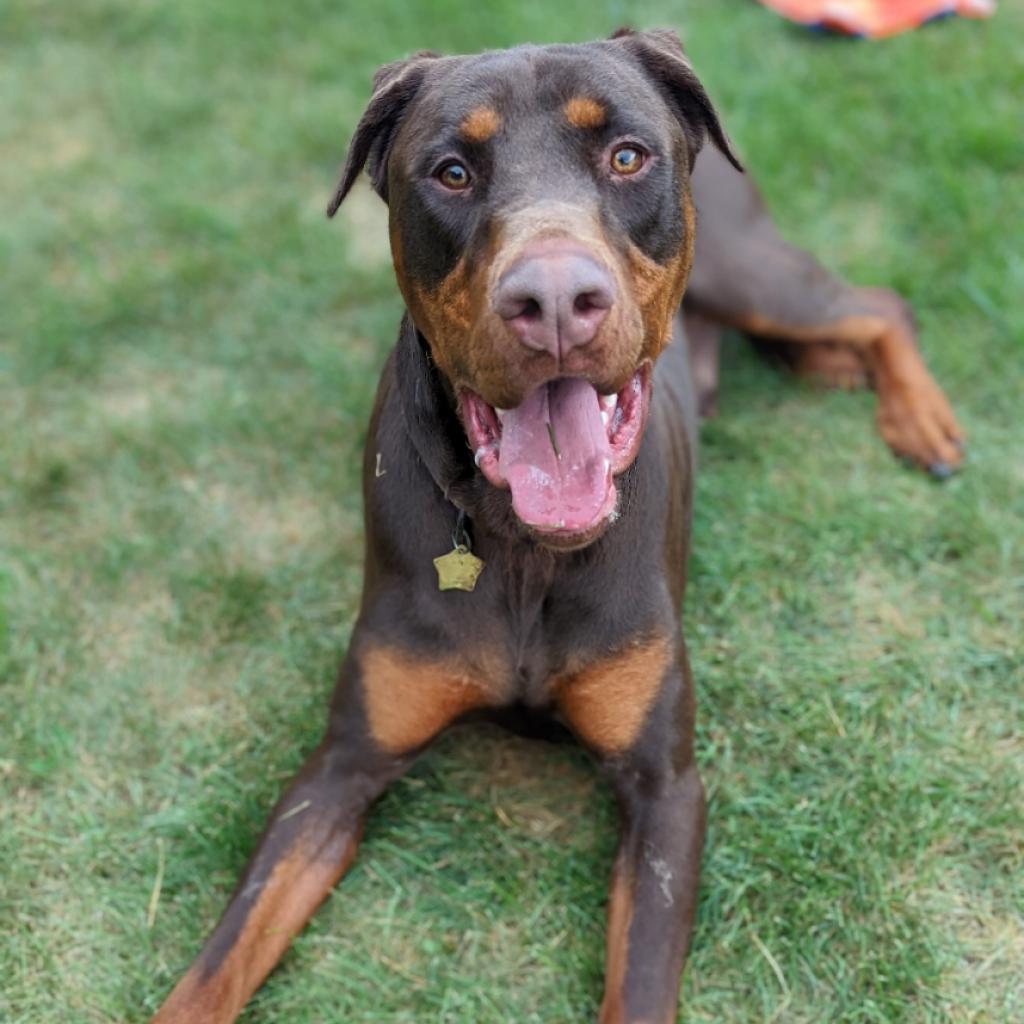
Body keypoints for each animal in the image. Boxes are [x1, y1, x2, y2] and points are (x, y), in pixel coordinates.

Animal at [148, 28, 962, 1019]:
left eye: (626, 157)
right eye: (452, 171)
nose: (555, 302)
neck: (525, 548)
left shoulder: (667, 792)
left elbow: (639, 983)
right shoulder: (341, 767)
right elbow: (217, 963)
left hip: (753, 270)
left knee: (880, 305)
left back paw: (920, 419)